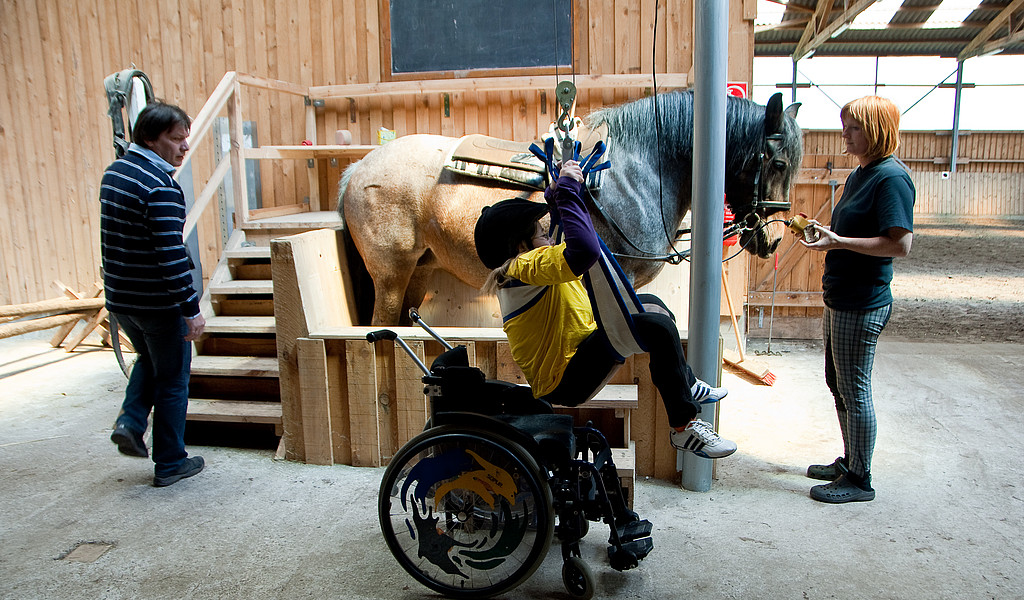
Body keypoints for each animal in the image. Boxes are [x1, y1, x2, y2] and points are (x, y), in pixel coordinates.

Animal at [338, 91, 801, 325]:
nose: (774, 237)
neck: (639, 168)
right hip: (391, 275)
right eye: (778, 162)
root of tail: (359, 168)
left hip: (420, 270)